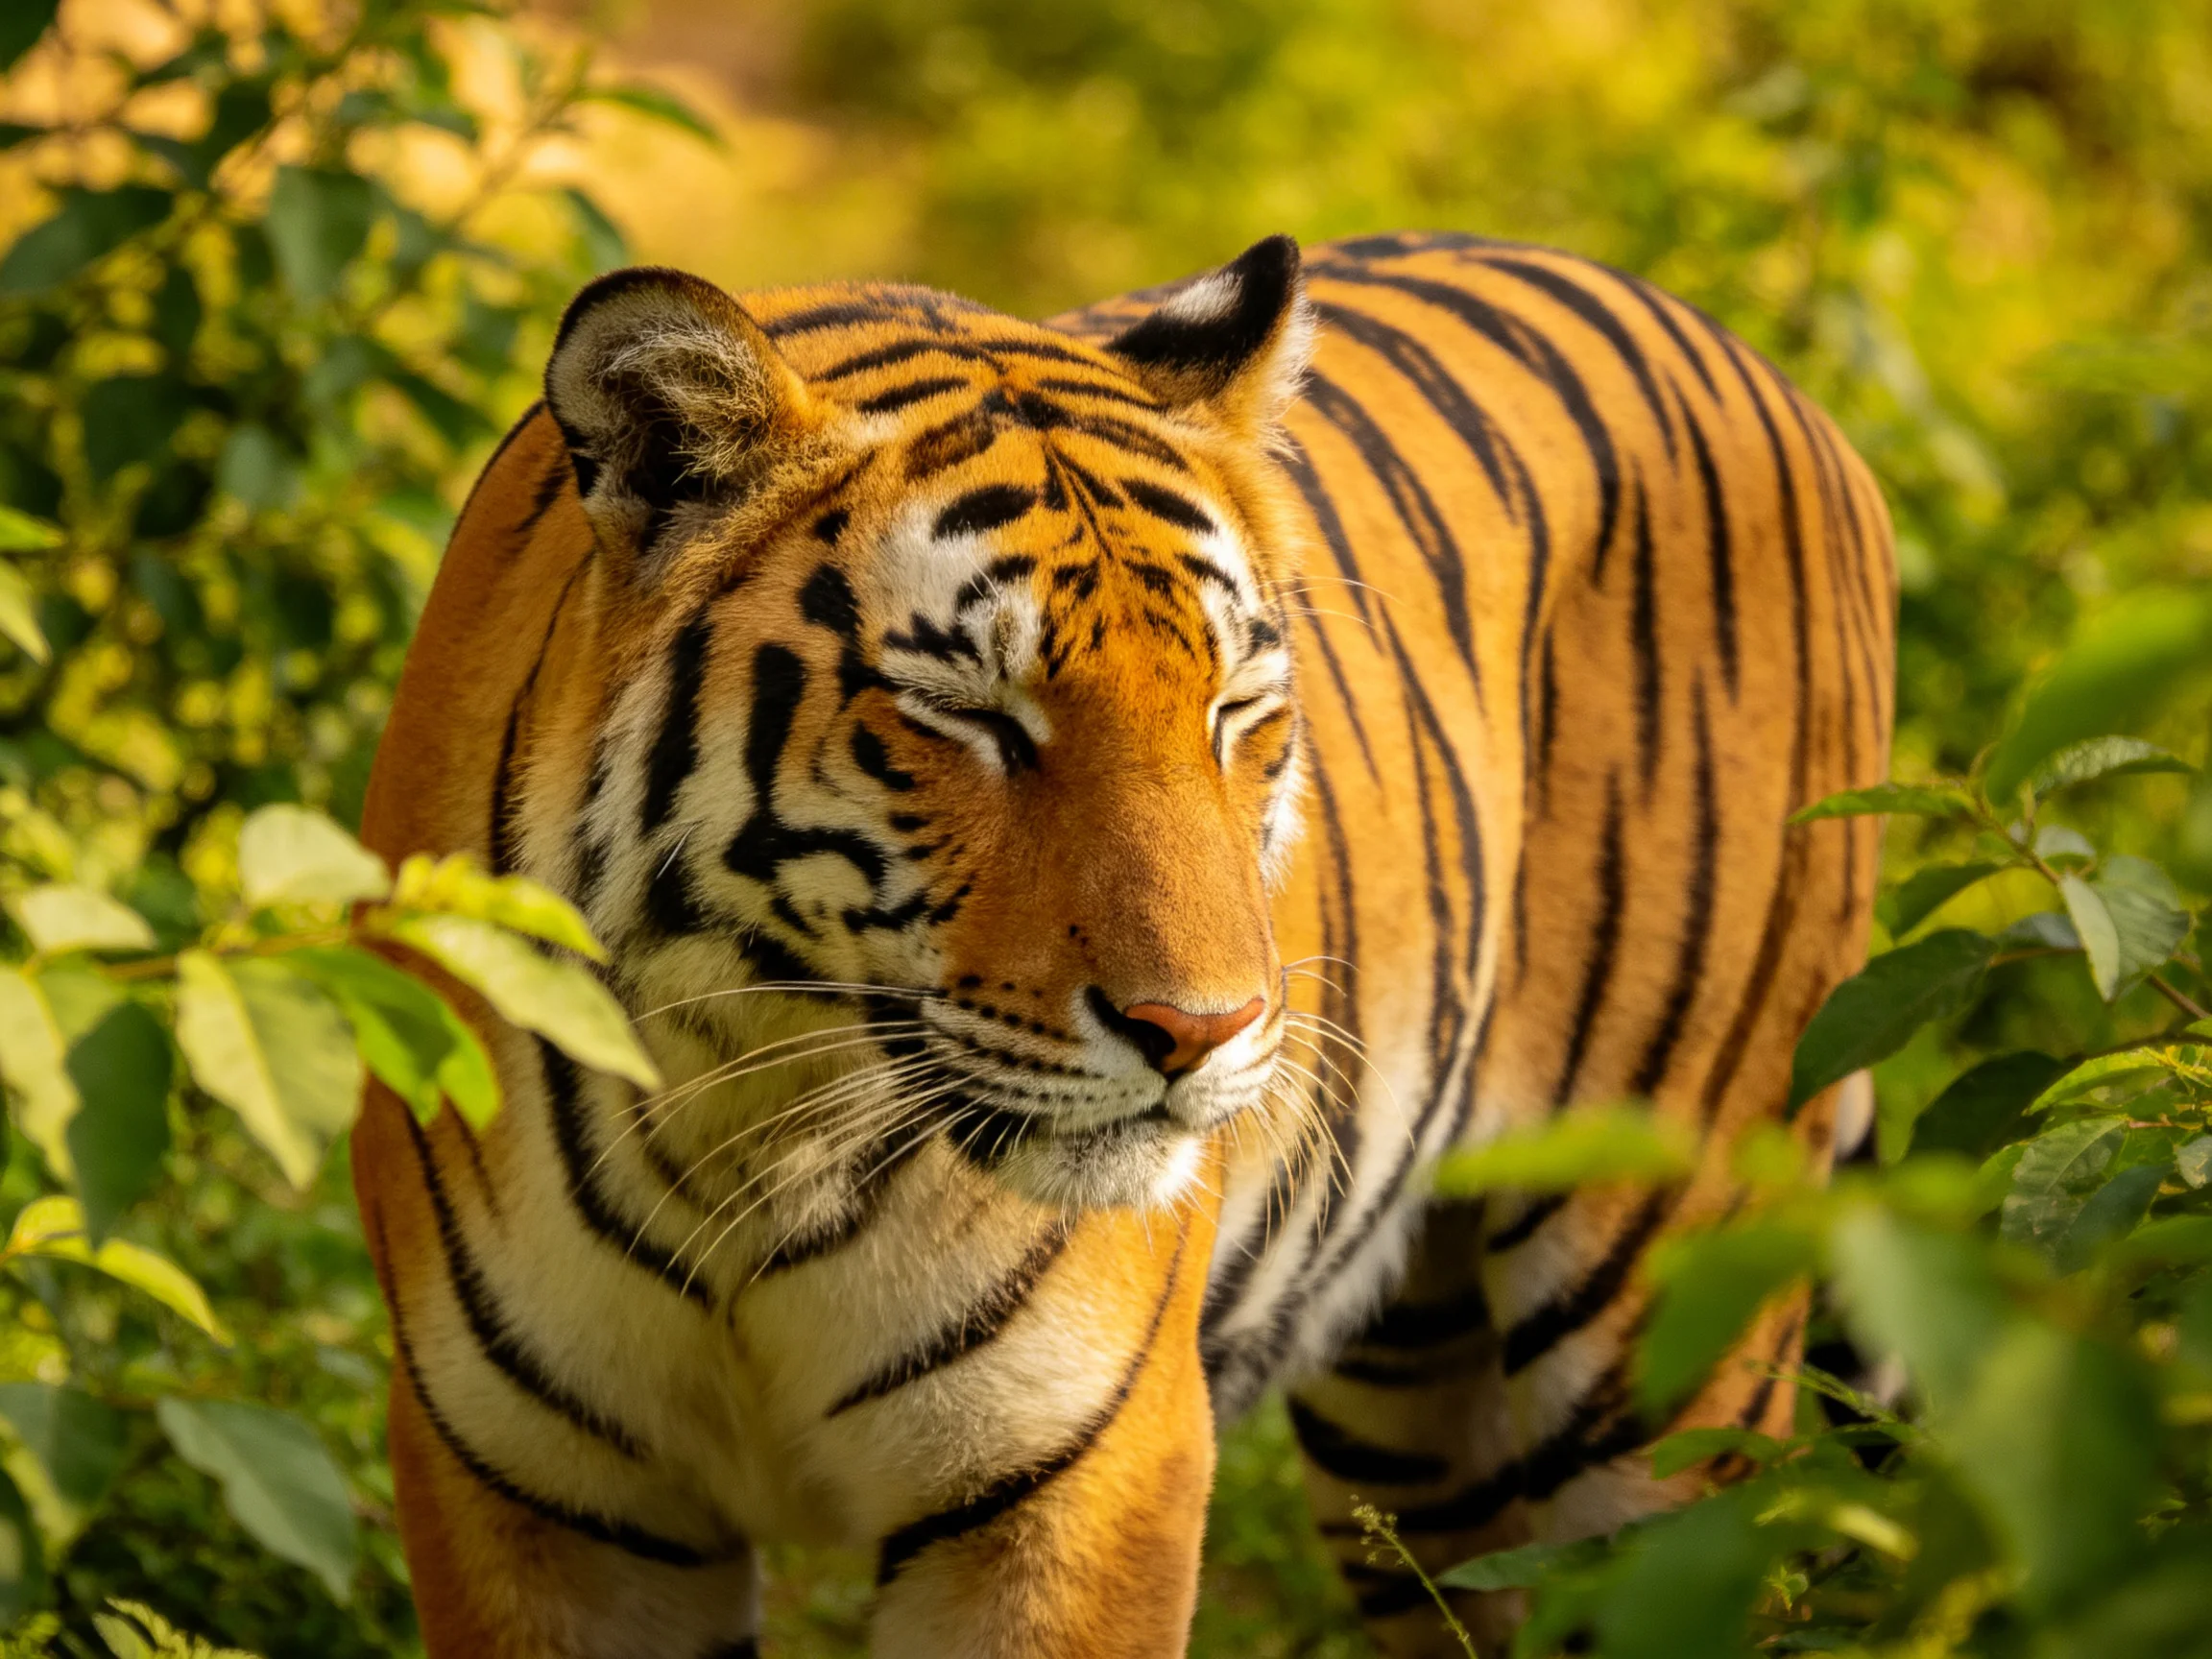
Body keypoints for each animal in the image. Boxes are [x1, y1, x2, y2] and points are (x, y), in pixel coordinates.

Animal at [351, 229, 1892, 1658]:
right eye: (972, 715)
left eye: (1234, 709)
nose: (1202, 1033)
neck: (753, 1119)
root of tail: (1766, 370)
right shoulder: (537, 1500)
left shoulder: (1080, 1489)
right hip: (1418, 1417)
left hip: (1670, 1324)